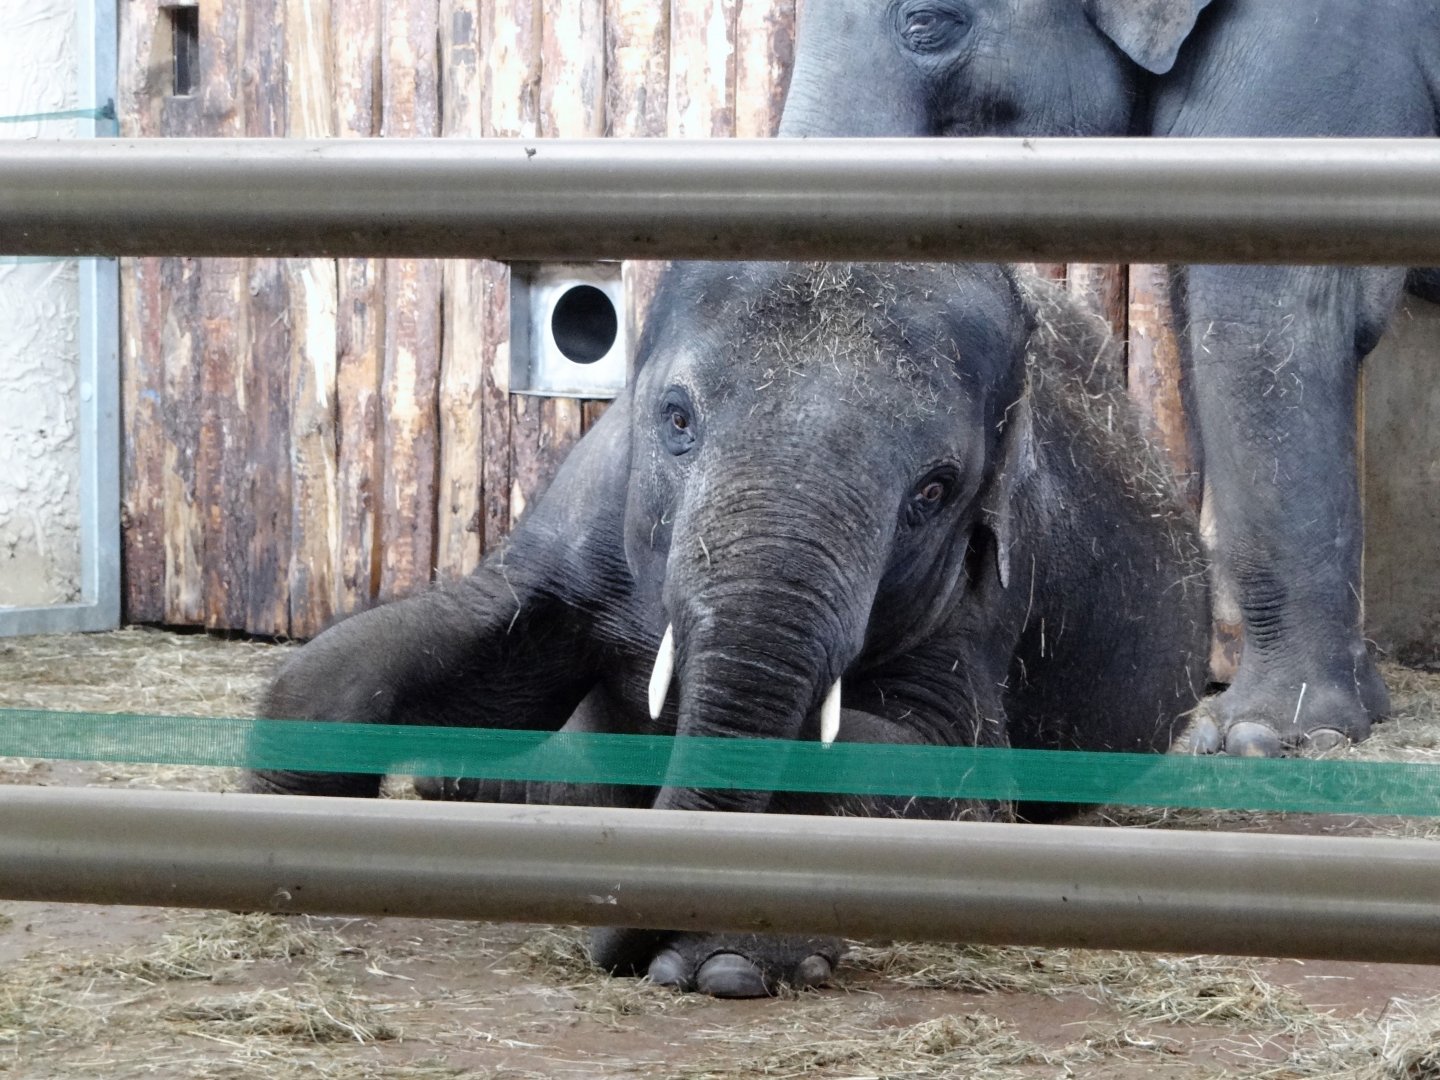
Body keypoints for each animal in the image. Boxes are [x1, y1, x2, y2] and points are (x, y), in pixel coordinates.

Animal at [247, 260, 1209, 996]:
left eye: (934, 492)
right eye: (677, 419)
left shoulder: (983, 605)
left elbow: (940, 770)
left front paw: (726, 965)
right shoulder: (591, 502)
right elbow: (466, 644)